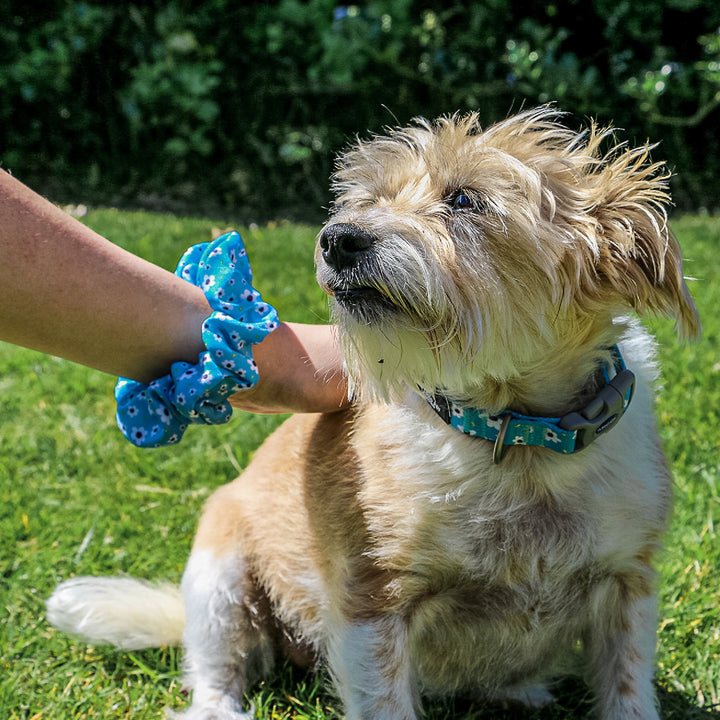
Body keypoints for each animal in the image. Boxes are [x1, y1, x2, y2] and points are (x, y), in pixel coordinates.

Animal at [46, 108, 696, 720]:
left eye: (464, 199)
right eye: (371, 198)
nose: (337, 238)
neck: (519, 441)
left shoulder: (629, 583)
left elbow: (628, 689)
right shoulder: (373, 600)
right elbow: (385, 701)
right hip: (219, 580)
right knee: (215, 666)